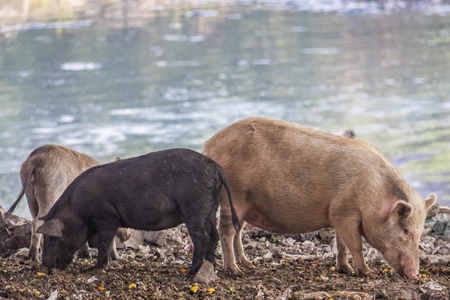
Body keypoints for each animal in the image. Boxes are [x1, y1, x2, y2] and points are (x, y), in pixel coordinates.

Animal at [36, 149, 239, 276]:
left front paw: (94, 268)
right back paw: (209, 266)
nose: (45, 264)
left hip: (195, 209)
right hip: (211, 208)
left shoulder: (106, 217)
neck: (78, 209)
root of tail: (215, 168)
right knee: (213, 236)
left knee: (201, 238)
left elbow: (103, 243)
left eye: (51, 238)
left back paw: (191, 273)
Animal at [203, 116, 436, 278]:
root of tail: (209, 146)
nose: (415, 275)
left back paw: (248, 264)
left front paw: (345, 269)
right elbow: (355, 245)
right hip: (234, 195)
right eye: (406, 231)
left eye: (420, 233)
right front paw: (368, 273)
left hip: (245, 204)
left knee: (238, 232)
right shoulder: (346, 212)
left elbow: (342, 244)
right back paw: (236, 271)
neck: (374, 192)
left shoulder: (339, 214)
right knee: (226, 231)